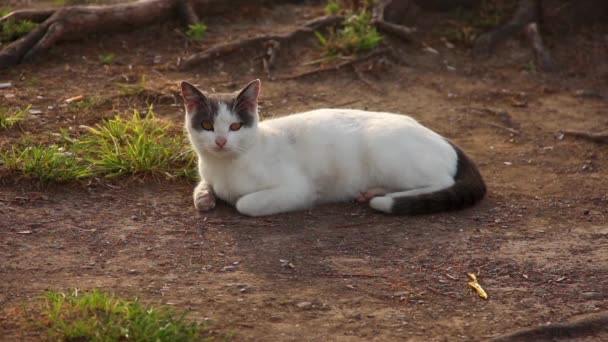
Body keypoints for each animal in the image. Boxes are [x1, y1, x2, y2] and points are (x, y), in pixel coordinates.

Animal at [179, 79, 484, 216]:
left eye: (235, 127)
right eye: (207, 125)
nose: (220, 141)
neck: (223, 168)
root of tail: (442, 138)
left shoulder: (298, 189)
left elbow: (244, 203)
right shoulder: (207, 174)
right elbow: (202, 186)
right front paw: (204, 197)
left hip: (386, 151)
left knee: (441, 182)